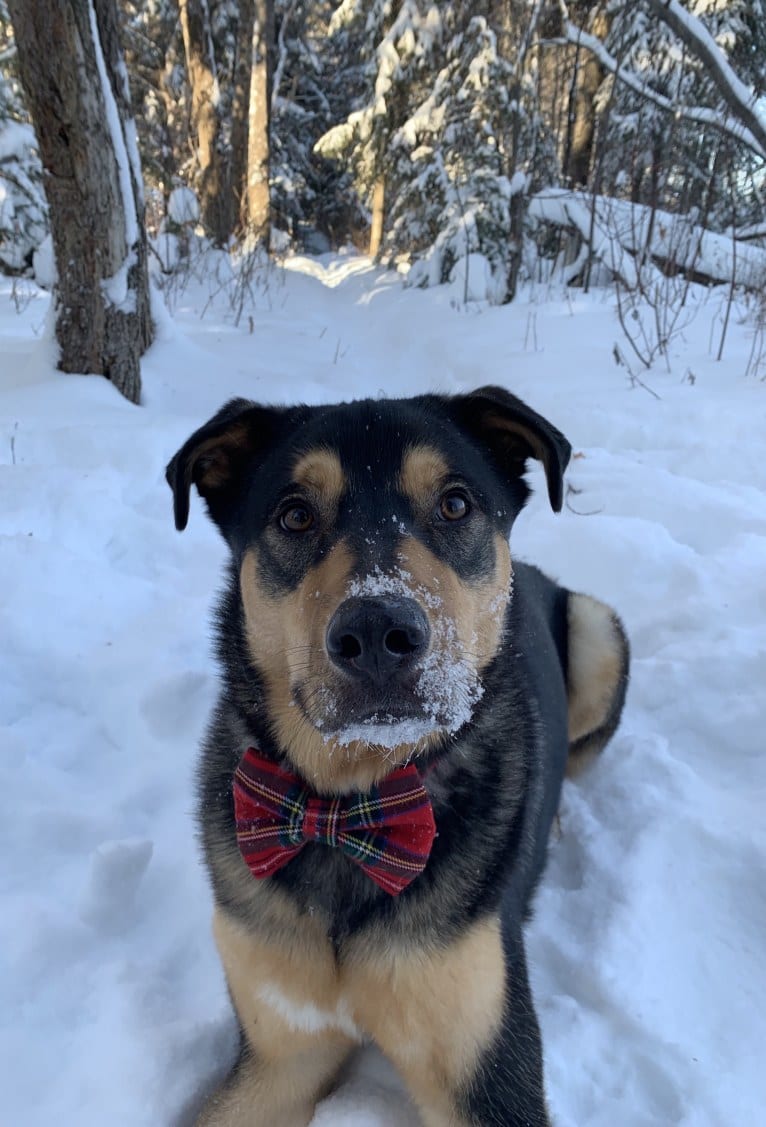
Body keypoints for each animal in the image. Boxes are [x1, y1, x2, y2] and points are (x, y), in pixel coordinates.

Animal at [167, 387, 626, 1127]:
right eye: (295, 514)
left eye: (456, 504)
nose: (378, 631)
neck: (350, 808)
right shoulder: (278, 1049)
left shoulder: (481, 1064)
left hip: (597, 629)